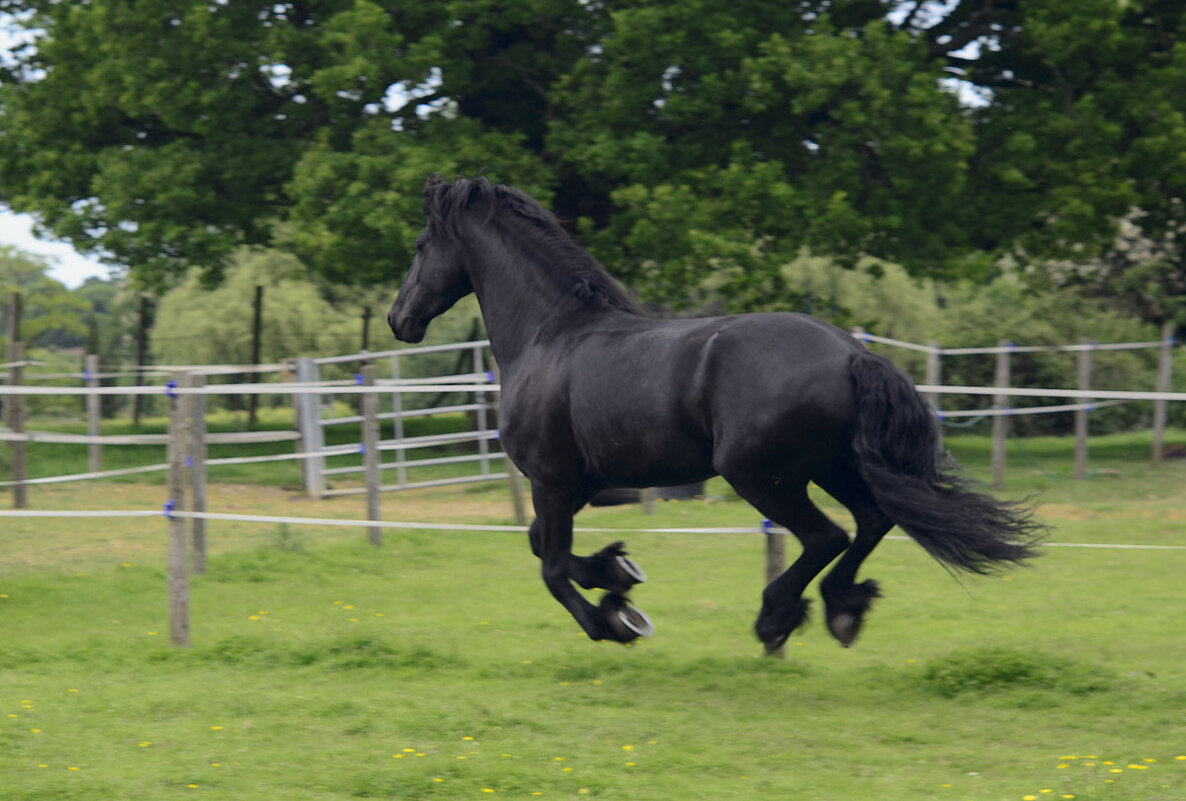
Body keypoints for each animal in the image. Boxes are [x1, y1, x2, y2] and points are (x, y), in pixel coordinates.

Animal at [386, 175, 1038, 650]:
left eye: (419, 247)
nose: (399, 318)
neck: (551, 335)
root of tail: (853, 353)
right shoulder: (579, 483)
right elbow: (541, 546)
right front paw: (618, 575)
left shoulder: (551, 480)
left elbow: (547, 565)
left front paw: (615, 621)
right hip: (834, 466)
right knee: (872, 520)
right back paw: (843, 609)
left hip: (760, 474)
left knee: (826, 535)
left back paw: (776, 618)